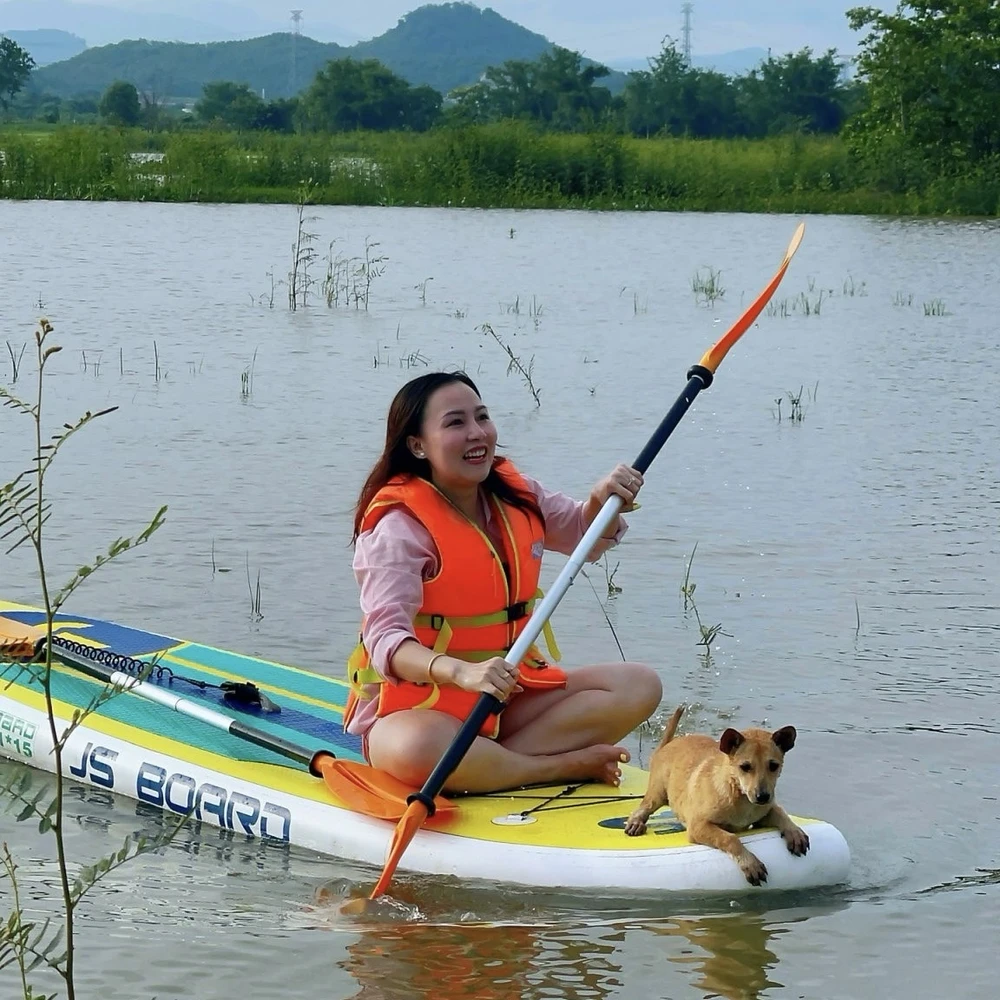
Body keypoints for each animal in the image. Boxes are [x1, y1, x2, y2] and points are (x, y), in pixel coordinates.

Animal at [628, 704, 808, 884]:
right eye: (745, 766)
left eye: (774, 765)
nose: (763, 797)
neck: (740, 797)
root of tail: (667, 745)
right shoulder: (698, 826)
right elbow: (729, 838)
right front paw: (749, 863)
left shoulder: (761, 816)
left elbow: (780, 812)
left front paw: (794, 832)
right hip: (657, 793)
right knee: (643, 808)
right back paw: (636, 823)